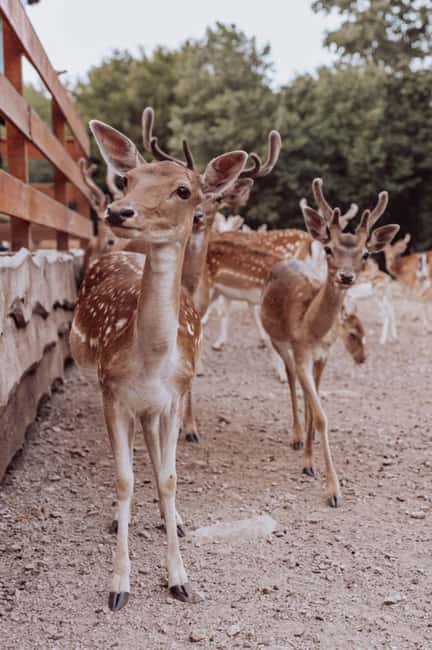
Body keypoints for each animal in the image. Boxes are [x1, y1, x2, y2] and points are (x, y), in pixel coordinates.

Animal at [70, 107, 249, 611]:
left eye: (184, 190)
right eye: (127, 179)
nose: (118, 211)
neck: (149, 360)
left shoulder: (171, 398)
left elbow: (168, 478)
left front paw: (179, 579)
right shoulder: (112, 393)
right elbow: (124, 479)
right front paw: (118, 585)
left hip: (159, 406)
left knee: (156, 457)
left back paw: (177, 521)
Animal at [260, 178, 399, 508]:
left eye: (365, 253)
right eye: (328, 248)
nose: (346, 276)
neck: (312, 329)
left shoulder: (324, 356)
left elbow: (317, 409)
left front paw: (310, 465)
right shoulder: (301, 352)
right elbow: (321, 415)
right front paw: (333, 490)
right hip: (276, 338)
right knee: (290, 379)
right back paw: (296, 436)